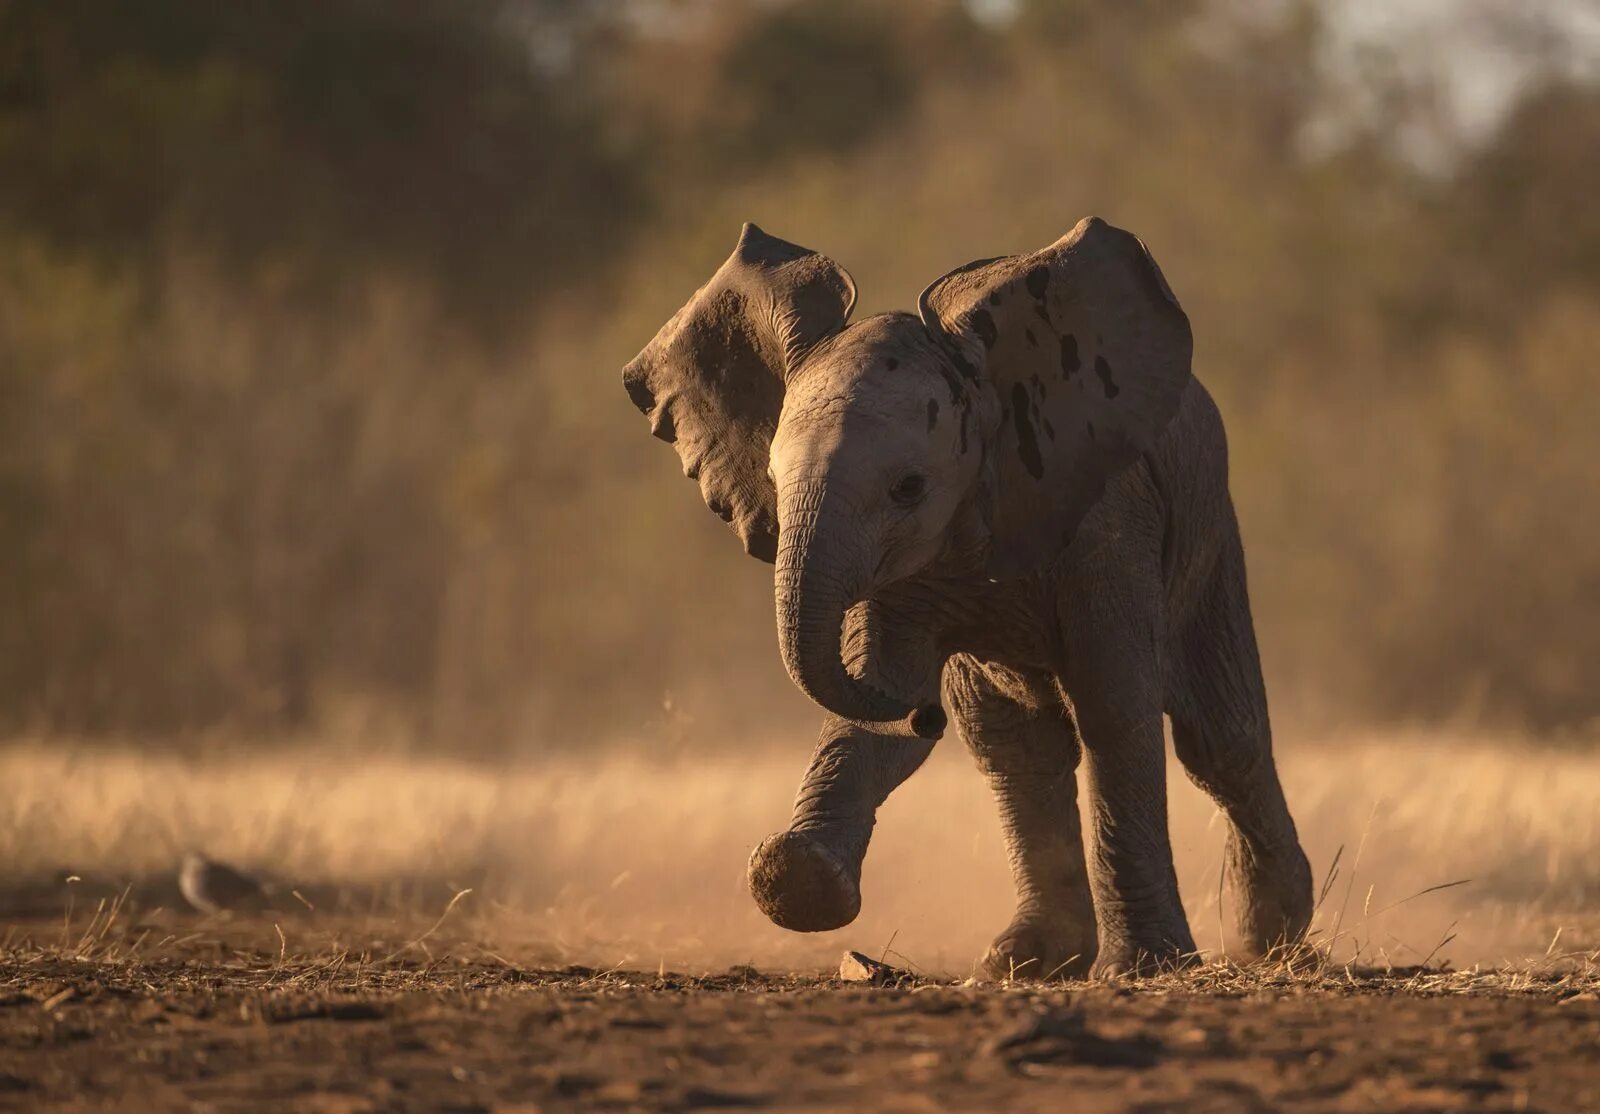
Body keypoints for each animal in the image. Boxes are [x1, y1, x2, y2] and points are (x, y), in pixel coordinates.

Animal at [620, 217, 1312, 973]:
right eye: (772, 481)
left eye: (909, 488)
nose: (926, 715)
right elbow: (882, 698)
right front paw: (792, 880)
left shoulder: (1110, 520)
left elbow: (1115, 705)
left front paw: (1147, 966)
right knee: (1012, 745)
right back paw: (1024, 961)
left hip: (1209, 532)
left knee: (1219, 736)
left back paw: (1269, 938)